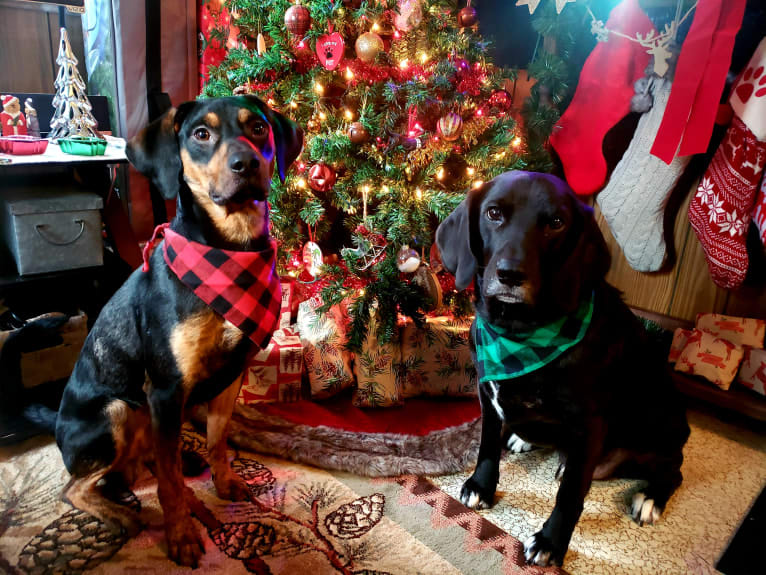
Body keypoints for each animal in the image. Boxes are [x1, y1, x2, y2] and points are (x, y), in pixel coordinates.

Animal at [45, 95, 302, 568]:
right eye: (201, 134)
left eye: (258, 128)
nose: (246, 164)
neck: (229, 249)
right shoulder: (166, 388)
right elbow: (169, 484)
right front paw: (181, 534)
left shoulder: (231, 375)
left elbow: (218, 440)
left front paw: (225, 482)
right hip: (117, 410)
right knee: (74, 488)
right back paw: (126, 515)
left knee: (141, 460)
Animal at [436, 170, 692, 568]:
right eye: (493, 213)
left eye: (556, 223)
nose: (510, 275)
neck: (518, 331)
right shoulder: (488, 394)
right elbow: (487, 447)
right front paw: (481, 485)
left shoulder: (590, 426)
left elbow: (570, 495)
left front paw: (551, 542)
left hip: (658, 424)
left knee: (674, 469)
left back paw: (651, 498)